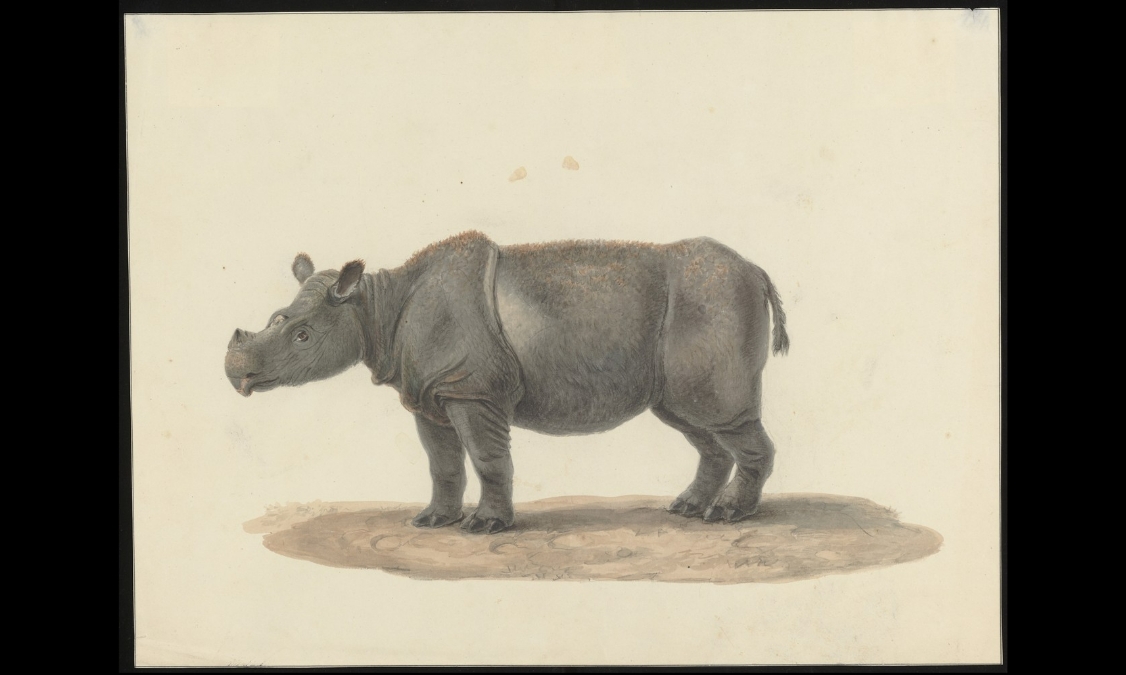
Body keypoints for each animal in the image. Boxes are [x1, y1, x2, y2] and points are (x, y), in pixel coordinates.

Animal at [225, 231, 789, 534]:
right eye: (276, 320)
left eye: (302, 336)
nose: (237, 375)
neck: (375, 307)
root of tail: (758, 270)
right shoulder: (431, 394)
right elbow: (443, 464)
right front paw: (433, 521)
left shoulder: (473, 390)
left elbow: (486, 457)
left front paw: (485, 527)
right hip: (690, 336)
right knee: (694, 420)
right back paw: (688, 510)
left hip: (714, 298)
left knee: (721, 414)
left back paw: (728, 517)